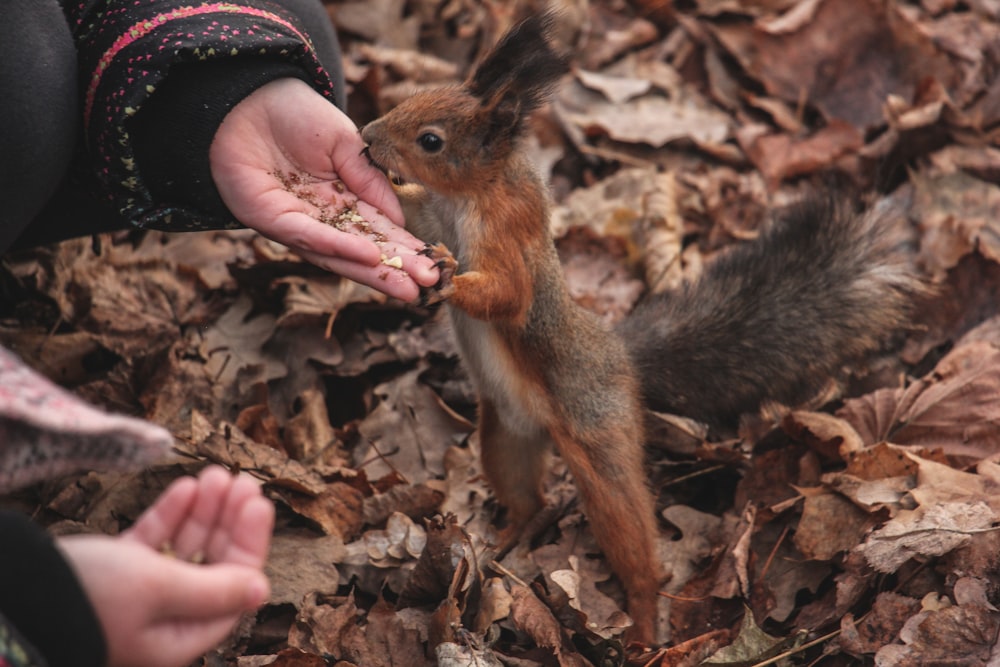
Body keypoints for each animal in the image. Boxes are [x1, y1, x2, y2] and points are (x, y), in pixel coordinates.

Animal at [360, 14, 920, 640]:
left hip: (598, 443)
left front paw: (450, 275)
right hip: (505, 437)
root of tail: (622, 360)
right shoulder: (431, 213)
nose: (366, 135)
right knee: (529, 500)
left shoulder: (506, 231)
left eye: (431, 140)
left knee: (631, 536)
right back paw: (504, 537)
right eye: (408, 101)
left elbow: (511, 295)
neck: (466, 195)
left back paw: (646, 625)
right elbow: (411, 215)